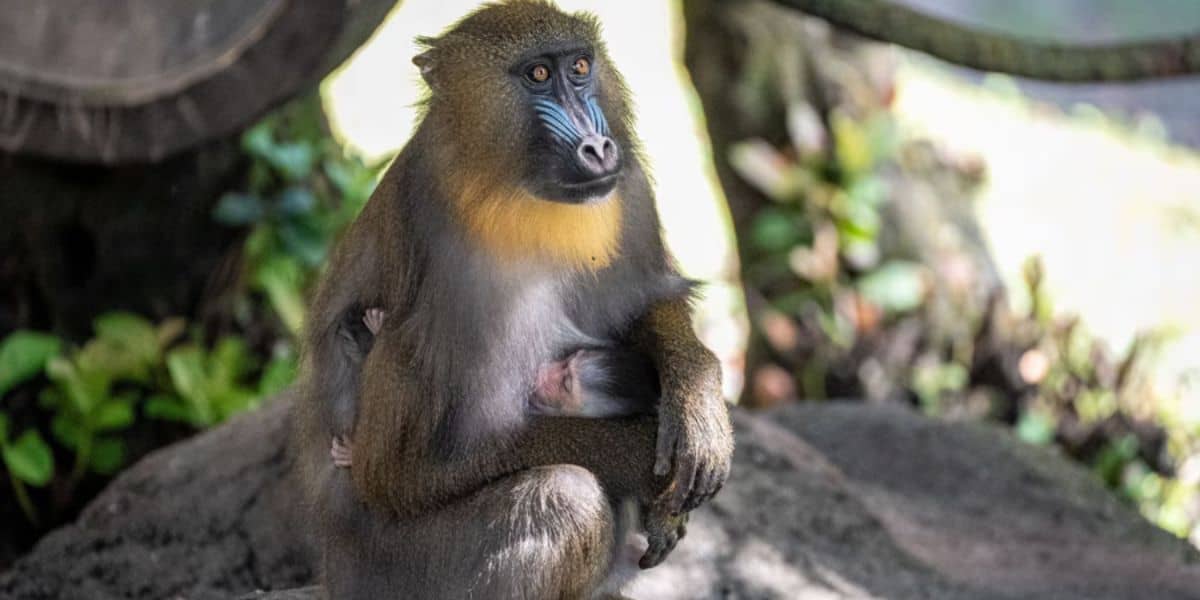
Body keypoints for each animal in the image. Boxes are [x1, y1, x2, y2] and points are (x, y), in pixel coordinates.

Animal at [291, 2, 734, 598]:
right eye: (538, 75)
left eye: (580, 67)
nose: (597, 148)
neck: (514, 188)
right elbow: (405, 472)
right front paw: (647, 467)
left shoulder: (630, 189)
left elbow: (646, 302)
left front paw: (696, 402)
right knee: (565, 495)